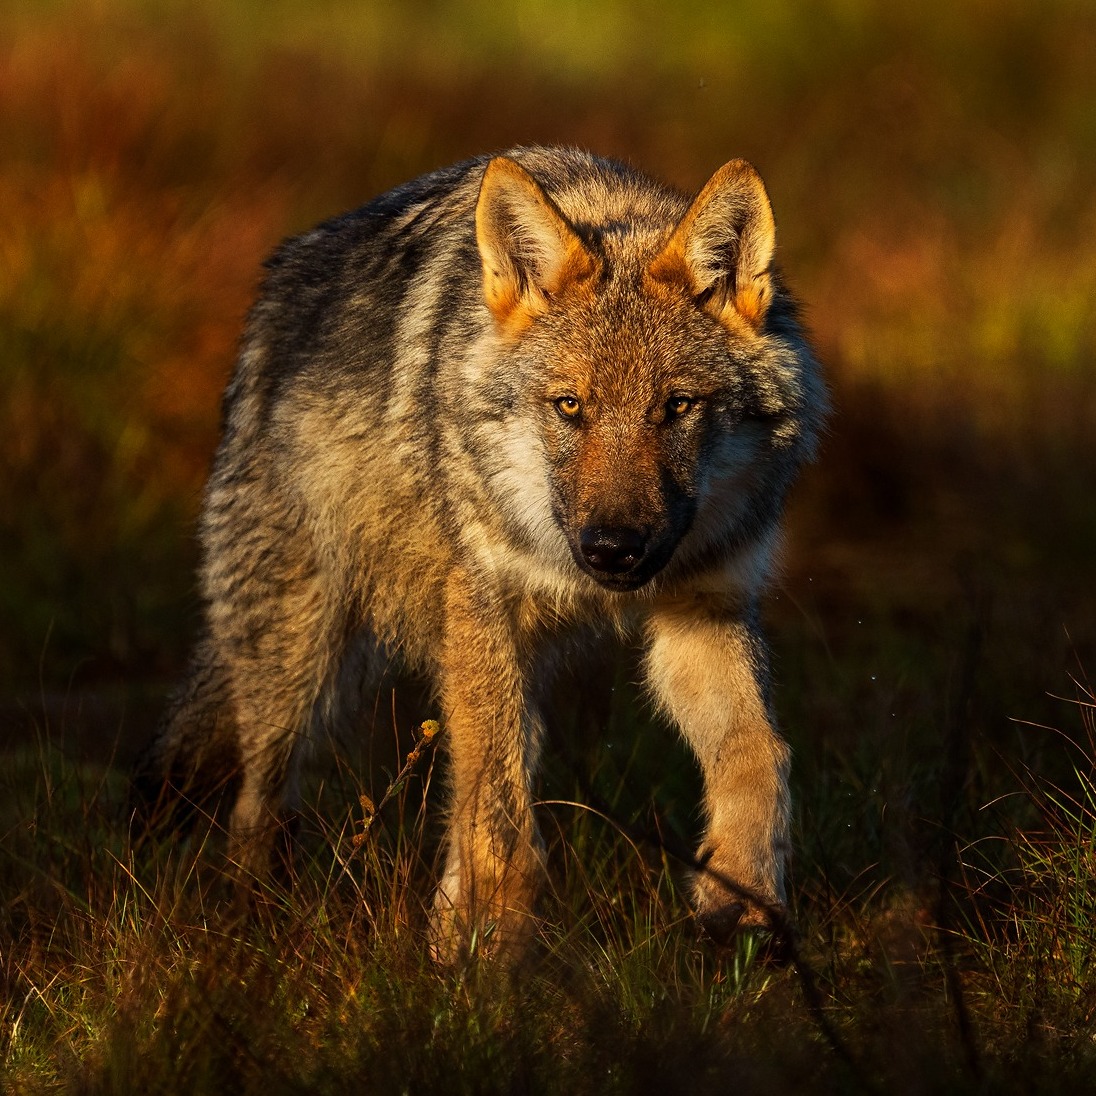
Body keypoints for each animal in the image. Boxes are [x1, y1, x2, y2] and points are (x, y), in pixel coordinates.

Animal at [136, 145, 826, 960]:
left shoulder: (705, 608)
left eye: (677, 406)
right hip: (300, 658)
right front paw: (492, 961)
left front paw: (740, 900)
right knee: (259, 803)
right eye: (570, 406)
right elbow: (499, 818)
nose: (614, 551)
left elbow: (760, 756)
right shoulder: (481, 608)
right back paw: (255, 929)